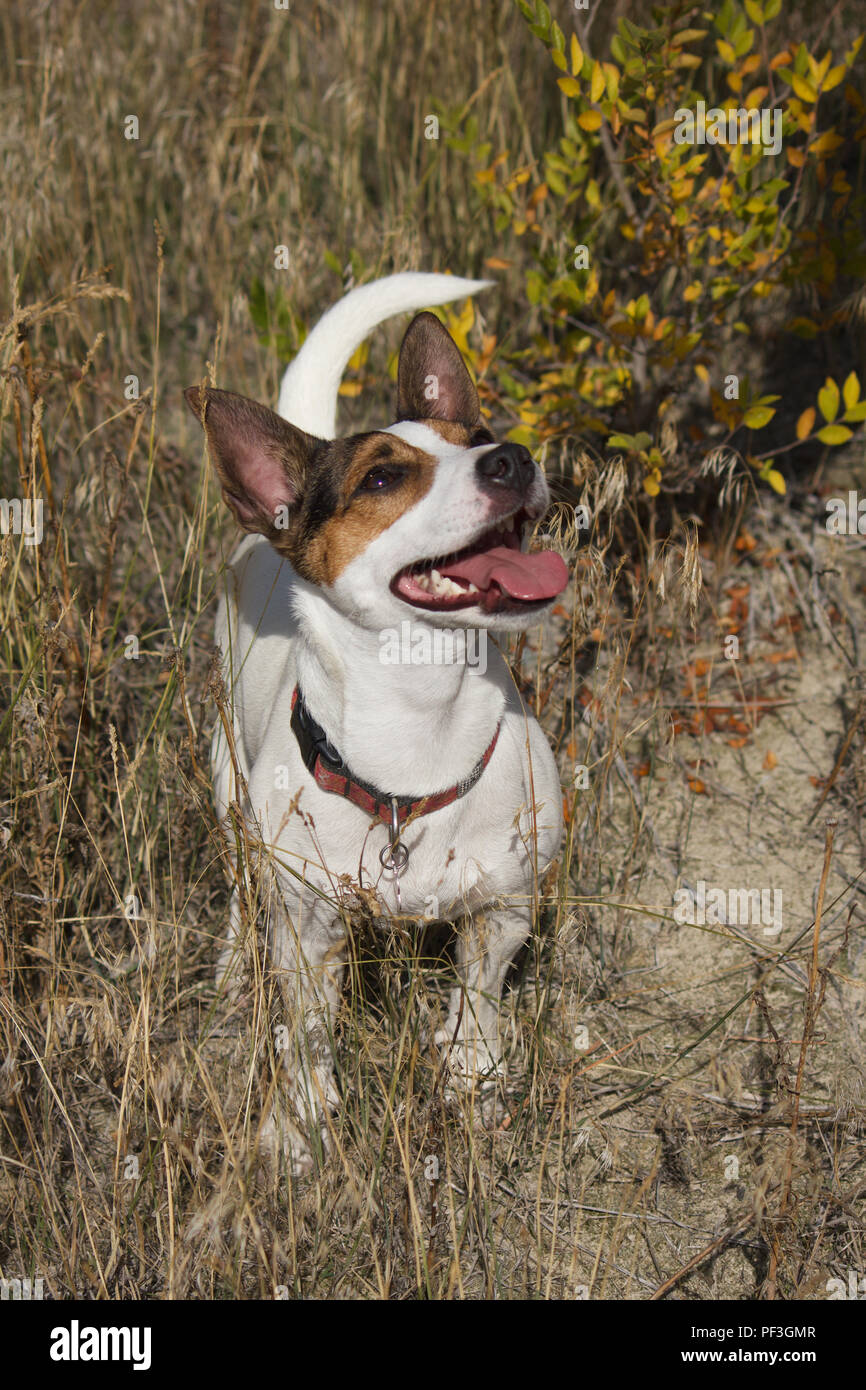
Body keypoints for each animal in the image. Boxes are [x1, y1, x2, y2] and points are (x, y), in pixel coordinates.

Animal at [184, 273, 569, 1173]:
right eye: (384, 480)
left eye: (478, 436)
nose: (513, 457)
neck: (418, 733)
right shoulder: (308, 931)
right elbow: (309, 1034)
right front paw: (298, 1126)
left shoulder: (504, 909)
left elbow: (476, 1001)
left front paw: (474, 1083)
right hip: (228, 785)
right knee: (238, 892)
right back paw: (230, 976)